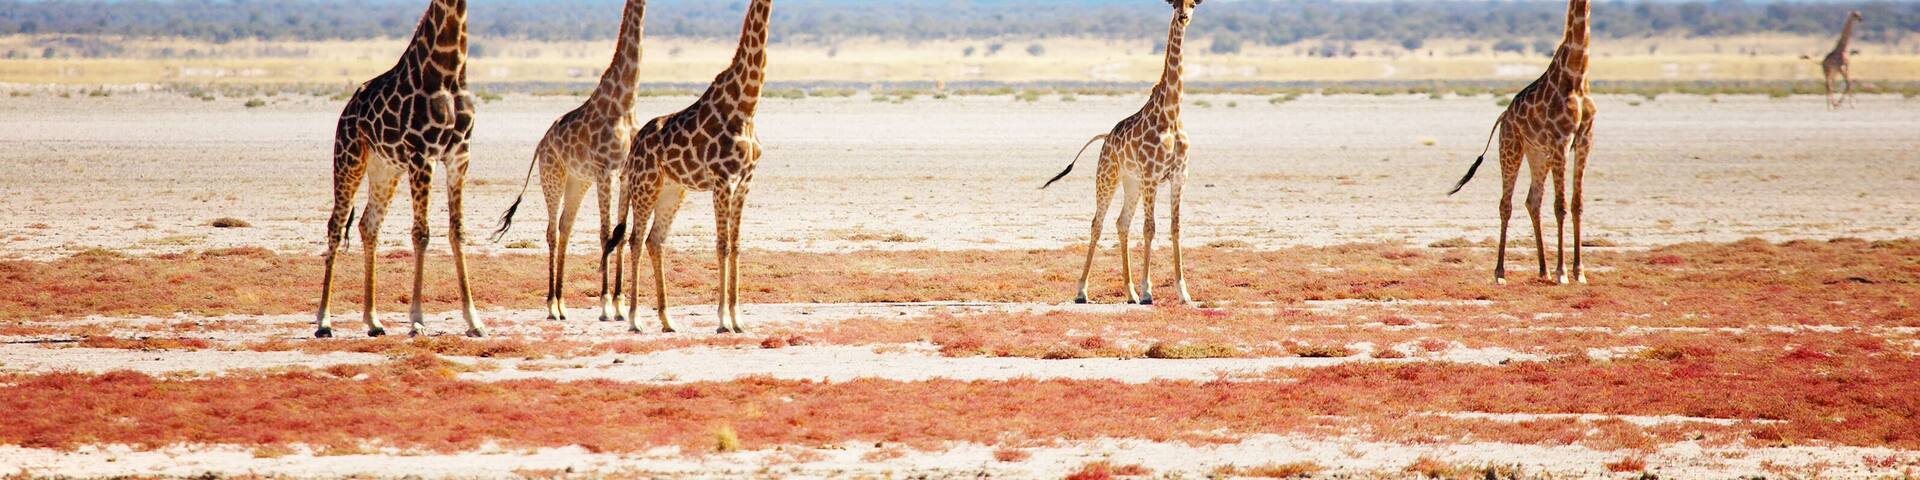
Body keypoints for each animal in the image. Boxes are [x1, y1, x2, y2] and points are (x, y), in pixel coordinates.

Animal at [314, 0, 484, 338]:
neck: (448, 72)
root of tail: (346, 110)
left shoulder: (459, 156)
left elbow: (457, 231)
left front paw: (474, 320)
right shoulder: (422, 155)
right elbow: (421, 234)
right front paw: (417, 319)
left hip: (385, 170)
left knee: (368, 225)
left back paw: (373, 321)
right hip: (349, 158)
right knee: (336, 226)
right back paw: (324, 322)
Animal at [494, 0, 647, 323]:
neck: (625, 102)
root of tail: (541, 143)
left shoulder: (625, 172)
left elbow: (620, 232)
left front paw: (620, 303)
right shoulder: (605, 170)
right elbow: (605, 232)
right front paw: (605, 305)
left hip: (578, 181)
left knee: (565, 227)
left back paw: (563, 304)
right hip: (552, 175)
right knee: (552, 231)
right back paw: (552, 305)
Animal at [607, 0, 772, 334]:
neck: (747, 106)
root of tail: (634, 148)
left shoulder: (745, 182)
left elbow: (736, 246)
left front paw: (738, 319)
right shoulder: (722, 180)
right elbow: (722, 246)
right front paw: (722, 320)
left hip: (673, 190)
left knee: (655, 240)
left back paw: (667, 320)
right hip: (646, 185)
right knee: (635, 239)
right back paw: (635, 319)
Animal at [1041, 0, 1202, 306]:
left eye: (1192, 4)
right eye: (1174, 3)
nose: (1183, 17)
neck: (1172, 115)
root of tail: (1106, 137)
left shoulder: (1180, 176)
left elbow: (1175, 228)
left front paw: (1184, 293)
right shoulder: (1152, 175)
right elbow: (1150, 227)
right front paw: (1149, 291)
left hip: (1131, 183)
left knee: (1121, 223)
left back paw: (1130, 293)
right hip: (1108, 176)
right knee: (1098, 223)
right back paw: (1082, 291)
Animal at [1447, 0, 1596, 286]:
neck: (1576, 74)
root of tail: (1504, 115)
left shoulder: (1585, 139)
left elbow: (1577, 204)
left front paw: (1579, 272)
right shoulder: (1562, 141)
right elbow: (1560, 206)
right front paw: (1563, 273)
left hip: (1537, 154)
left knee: (1532, 201)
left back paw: (1543, 270)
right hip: (1511, 147)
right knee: (1506, 204)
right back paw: (1500, 272)